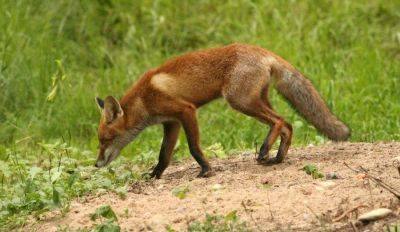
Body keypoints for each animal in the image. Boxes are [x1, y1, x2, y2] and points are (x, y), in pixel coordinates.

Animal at [94, 43, 350, 178]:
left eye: (105, 139)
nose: (96, 164)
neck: (144, 99)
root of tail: (262, 49)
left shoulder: (186, 111)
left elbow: (193, 148)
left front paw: (206, 170)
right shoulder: (171, 122)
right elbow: (164, 154)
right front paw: (155, 175)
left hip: (239, 101)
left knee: (279, 121)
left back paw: (265, 151)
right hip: (256, 100)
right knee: (287, 124)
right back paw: (277, 158)